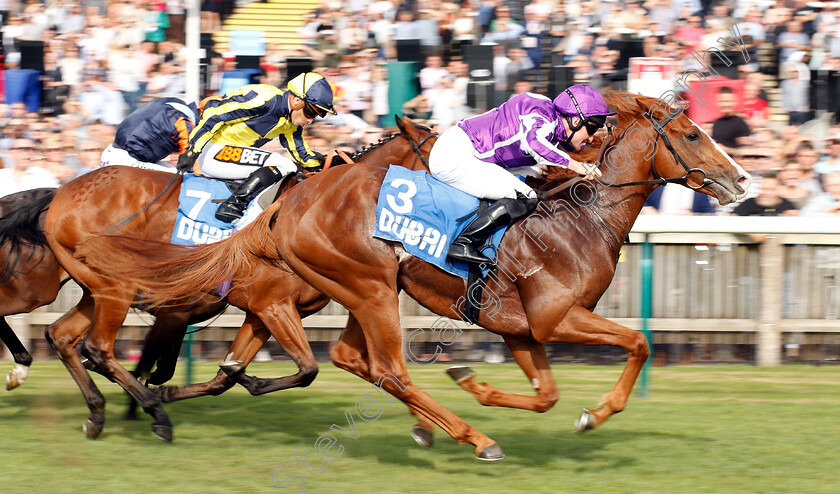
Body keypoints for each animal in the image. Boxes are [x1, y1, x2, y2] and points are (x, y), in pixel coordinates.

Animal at [42, 116, 436, 440]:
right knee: (97, 348)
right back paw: (154, 416)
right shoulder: (268, 304)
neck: (326, 207)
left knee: (62, 336)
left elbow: (222, 376)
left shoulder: (260, 311)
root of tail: (62, 192)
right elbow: (308, 369)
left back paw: (99, 414)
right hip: (115, 287)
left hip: (97, 291)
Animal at [88, 92, 752, 460]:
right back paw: (473, 439)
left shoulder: (520, 328)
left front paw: (475, 382)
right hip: (370, 287)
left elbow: (546, 395)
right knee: (386, 369)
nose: (740, 179)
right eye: (690, 133)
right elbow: (638, 342)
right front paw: (595, 414)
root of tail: (290, 206)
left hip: (358, 292)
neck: (580, 215)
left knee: (347, 360)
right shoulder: (556, 317)